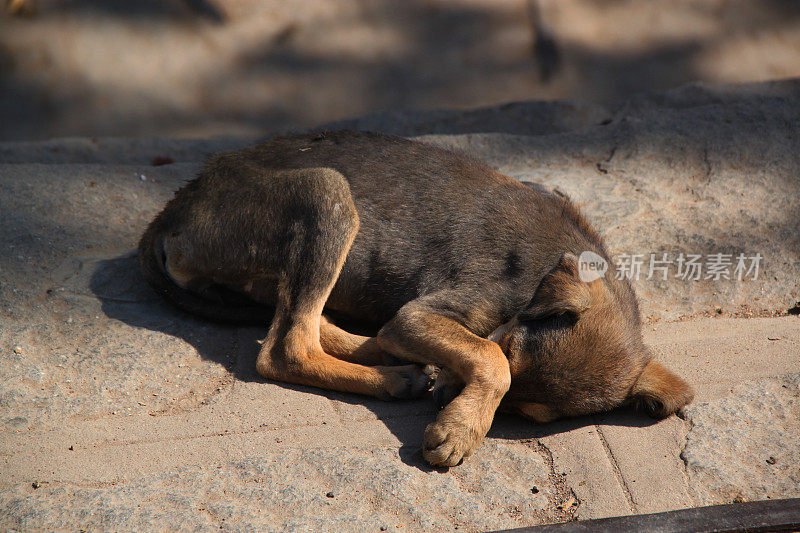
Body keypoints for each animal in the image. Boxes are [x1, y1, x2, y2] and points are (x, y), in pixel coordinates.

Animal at [139, 129, 692, 466]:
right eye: (511, 346)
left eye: (525, 416)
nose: (447, 398)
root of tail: (177, 205)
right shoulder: (424, 315)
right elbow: (487, 357)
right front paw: (460, 430)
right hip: (326, 193)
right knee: (286, 348)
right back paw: (391, 378)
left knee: (307, 323)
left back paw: (386, 359)